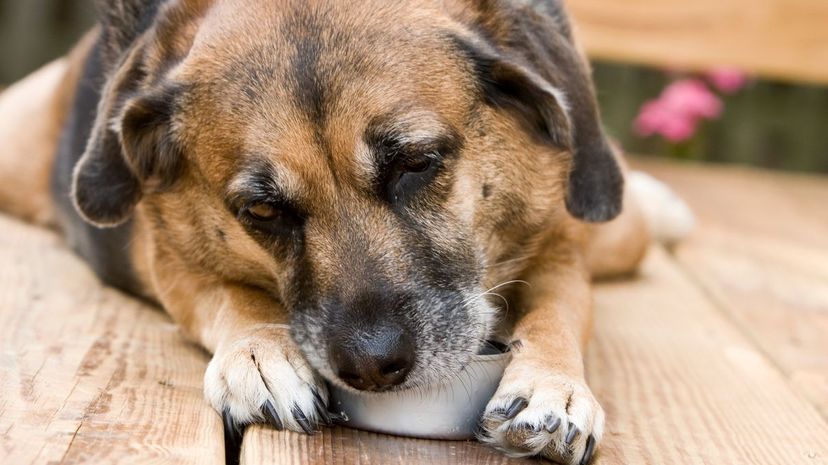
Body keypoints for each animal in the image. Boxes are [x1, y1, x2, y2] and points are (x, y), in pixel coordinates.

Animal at [0, 1, 692, 462]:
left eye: (416, 163)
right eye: (263, 211)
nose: (372, 367)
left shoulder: (561, 242)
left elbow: (559, 308)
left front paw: (553, 386)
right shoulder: (167, 251)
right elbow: (226, 292)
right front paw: (261, 352)